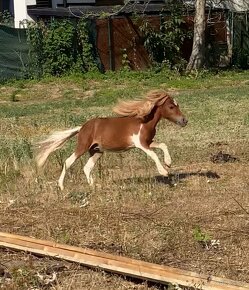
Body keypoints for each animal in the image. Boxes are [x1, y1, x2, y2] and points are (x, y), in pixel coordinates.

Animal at [36, 90, 187, 190]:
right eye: (171, 106)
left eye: (177, 105)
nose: (184, 120)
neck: (144, 121)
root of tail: (82, 127)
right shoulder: (141, 144)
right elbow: (154, 154)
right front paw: (164, 172)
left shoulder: (148, 142)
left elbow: (163, 145)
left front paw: (168, 163)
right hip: (83, 146)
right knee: (68, 162)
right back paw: (61, 186)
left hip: (97, 151)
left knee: (87, 167)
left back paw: (94, 185)